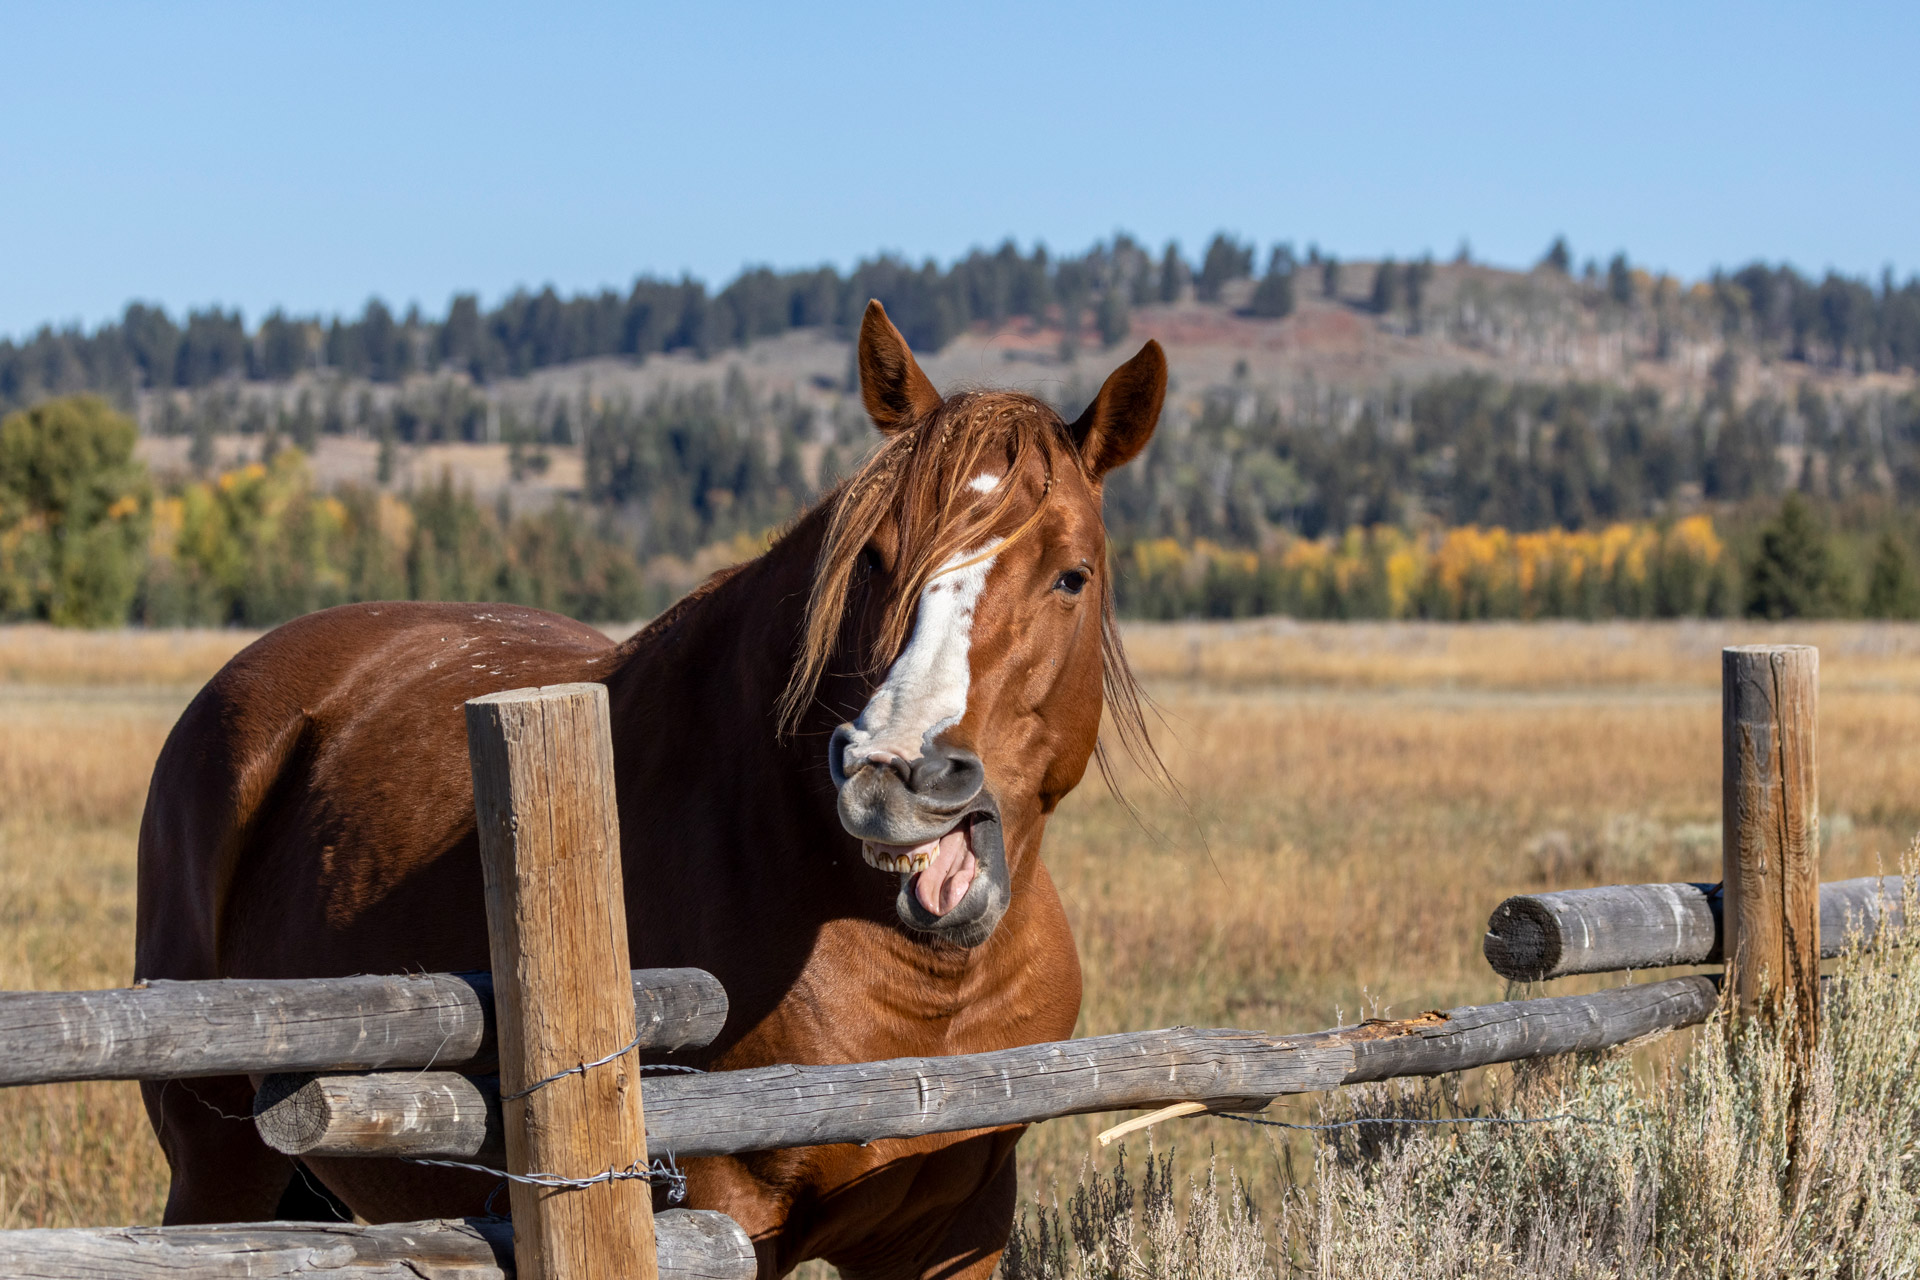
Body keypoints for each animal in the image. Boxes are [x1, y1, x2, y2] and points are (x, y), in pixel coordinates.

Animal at [134, 300, 1166, 1279]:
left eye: (1071, 576)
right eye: (874, 559)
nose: (895, 775)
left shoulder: (955, 1232)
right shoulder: (717, 1216)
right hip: (218, 1167)